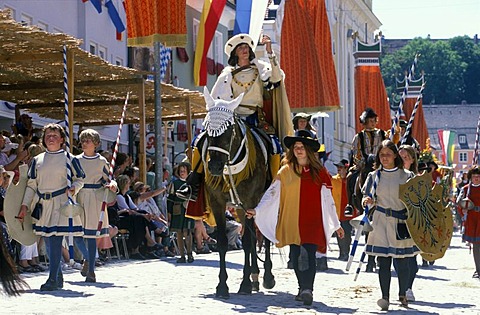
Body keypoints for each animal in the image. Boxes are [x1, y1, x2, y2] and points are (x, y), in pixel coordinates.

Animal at [200, 87, 274, 300]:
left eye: (228, 130)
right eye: (207, 129)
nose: (214, 167)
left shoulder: (250, 202)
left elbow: (248, 242)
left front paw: (245, 284)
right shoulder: (217, 202)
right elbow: (223, 242)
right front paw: (222, 286)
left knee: (262, 238)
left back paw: (265, 277)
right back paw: (255, 277)